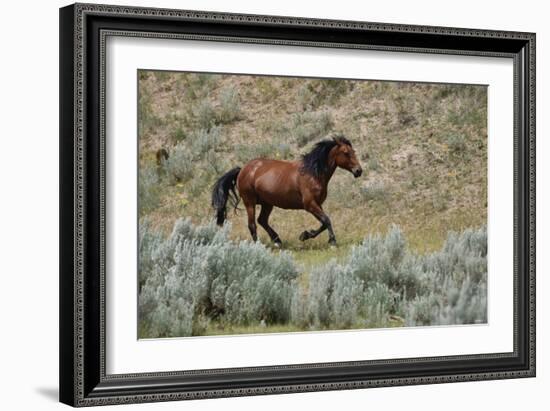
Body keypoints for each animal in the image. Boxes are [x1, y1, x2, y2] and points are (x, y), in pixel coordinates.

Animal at [213, 135, 364, 246]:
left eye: (354, 151)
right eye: (346, 153)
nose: (359, 171)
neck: (313, 173)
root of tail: (242, 169)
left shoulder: (317, 204)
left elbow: (323, 222)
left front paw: (304, 235)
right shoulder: (309, 204)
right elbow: (326, 220)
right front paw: (332, 241)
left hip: (267, 203)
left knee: (262, 220)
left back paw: (277, 241)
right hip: (249, 202)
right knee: (252, 225)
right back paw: (259, 246)